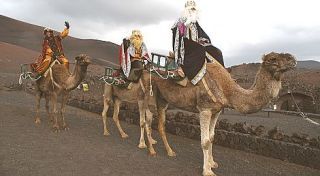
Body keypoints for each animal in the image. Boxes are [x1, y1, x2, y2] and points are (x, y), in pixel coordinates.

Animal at [142, 52, 298, 176]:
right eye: (273, 58)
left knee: (159, 124)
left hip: (163, 99)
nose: (293, 59)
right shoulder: (204, 109)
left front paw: (212, 163)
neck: (226, 89)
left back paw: (169, 151)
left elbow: (211, 137)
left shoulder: (216, 111)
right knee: (146, 119)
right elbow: (205, 141)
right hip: (148, 93)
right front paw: (207, 171)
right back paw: (150, 149)